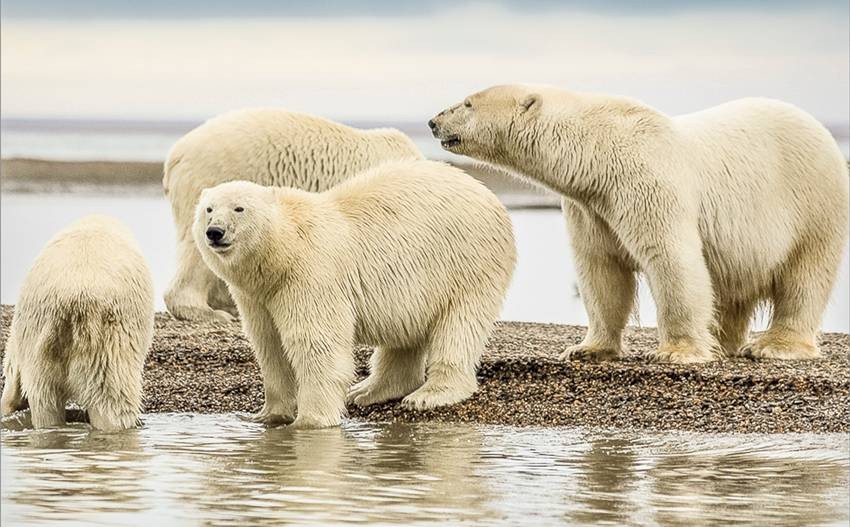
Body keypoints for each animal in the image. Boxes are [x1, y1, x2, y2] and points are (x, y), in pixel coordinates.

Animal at [193, 159, 516, 428]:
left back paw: (428, 395)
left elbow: (316, 344)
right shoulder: (258, 295)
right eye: (208, 209)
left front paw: (310, 421)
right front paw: (268, 415)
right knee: (405, 334)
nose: (215, 232)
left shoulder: (310, 276)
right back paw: (368, 390)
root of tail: (487, 193)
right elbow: (269, 344)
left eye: (239, 208)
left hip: (466, 262)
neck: (283, 251)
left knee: (459, 326)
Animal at [429, 84, 849, 364]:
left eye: (467, 103)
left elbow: (672, 259)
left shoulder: (646, 183)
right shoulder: (591, 207)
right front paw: (587, 348)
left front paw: (677, 352)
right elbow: (601, 271)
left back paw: (776, 345)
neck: (598, 152)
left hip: (814, 202)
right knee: (732, 286)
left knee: (805, 275)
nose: (433, 121)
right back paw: (722, 340)